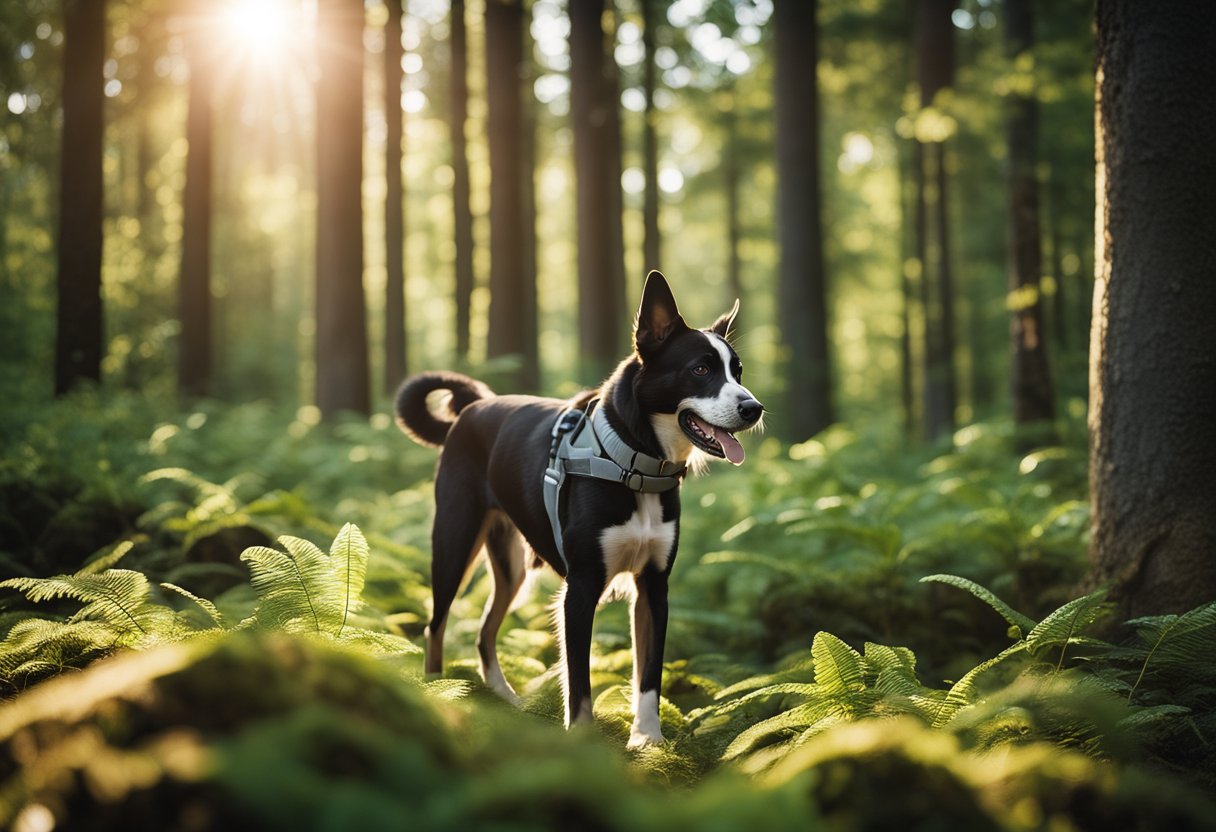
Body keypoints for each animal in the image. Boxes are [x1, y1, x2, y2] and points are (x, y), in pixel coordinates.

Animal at [396, 271, 758, 749]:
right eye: (700, 369)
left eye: (738, 371)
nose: (754, 408)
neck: (635, 466)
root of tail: (472, 408)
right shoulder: (581, 589)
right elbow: (580, 683)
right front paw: (586, 745)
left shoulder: (653, 587)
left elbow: (648, 674)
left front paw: (648, 739)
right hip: (454, 543)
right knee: (435, 625)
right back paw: (438, 690)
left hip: (512, 567)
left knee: (484, 630)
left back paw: (504, 699)